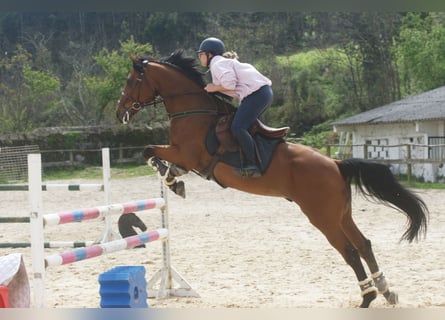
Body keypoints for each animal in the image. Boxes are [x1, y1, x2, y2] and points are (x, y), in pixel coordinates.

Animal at [116, 50, 428, 308]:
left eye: (131, 80)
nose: (120, 114)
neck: (194, 110)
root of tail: (336, 163)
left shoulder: (187, 153)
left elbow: (150, 151)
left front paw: (171, 180)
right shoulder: (184, 156)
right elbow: (158, 156)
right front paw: (174, 178)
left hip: (322, 217)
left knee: (349, 251)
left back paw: (367, 298)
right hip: (341, 213)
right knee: (363, 244)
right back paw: (386, 290)